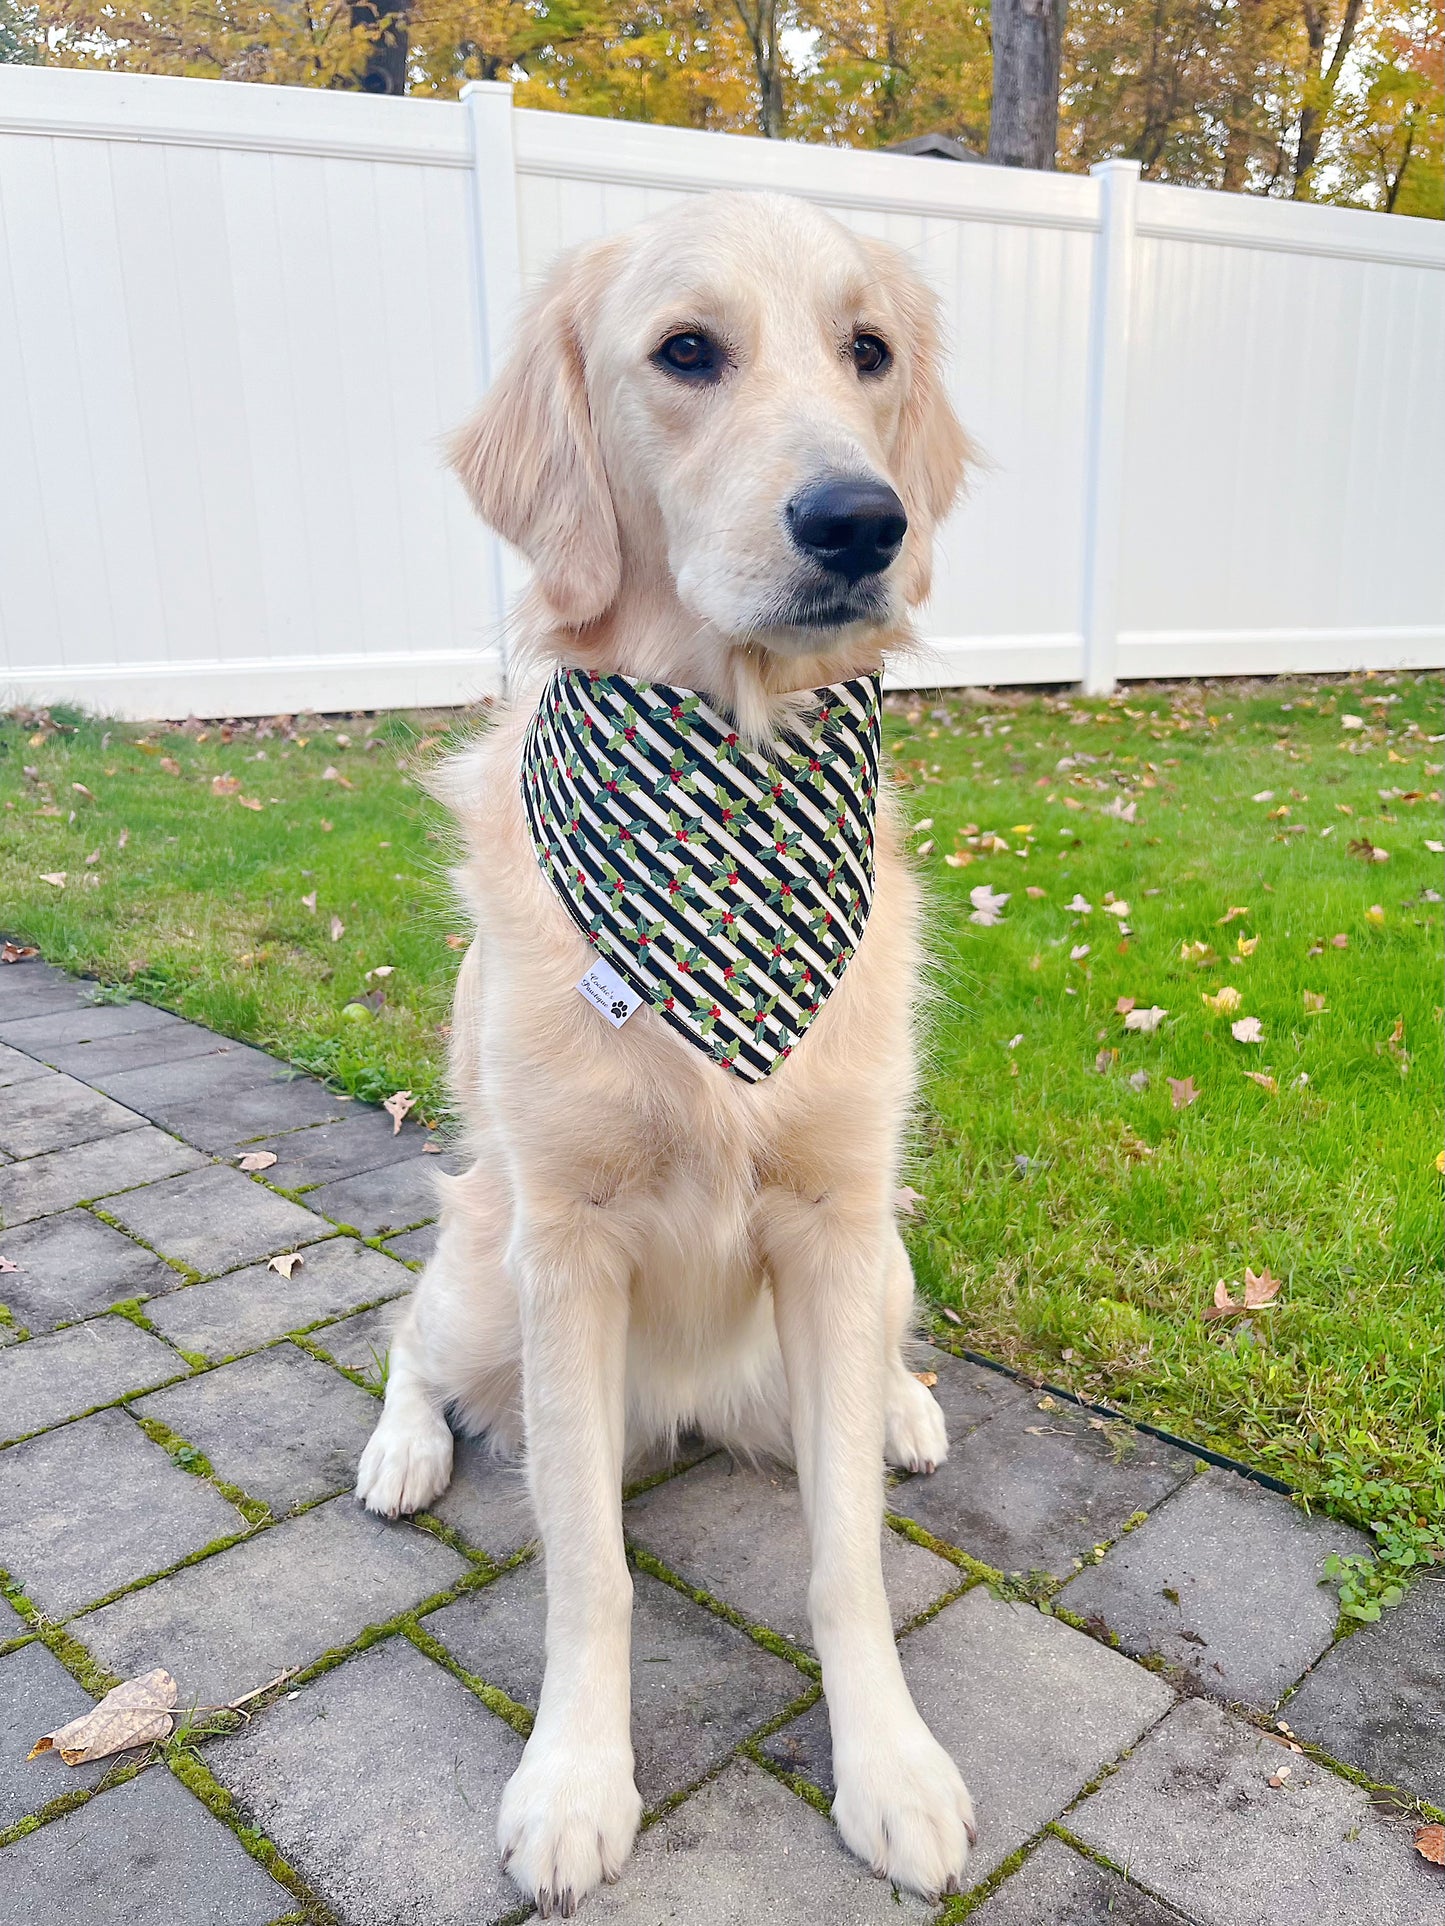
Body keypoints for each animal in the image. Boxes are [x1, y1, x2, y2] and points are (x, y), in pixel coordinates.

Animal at [356, 191, 978, 1910]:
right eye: (686, 352)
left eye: (869, 352)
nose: (860, 522)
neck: (730, 772)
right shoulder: (566, 1249)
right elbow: (593, 1573)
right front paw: (574, 1780)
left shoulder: (837, 1224)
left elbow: (846, 1562)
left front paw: (890, 1766)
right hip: (483, 1269)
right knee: (403, 1338)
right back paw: (400, 1451)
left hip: (877, 1261)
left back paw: (903, 1408)